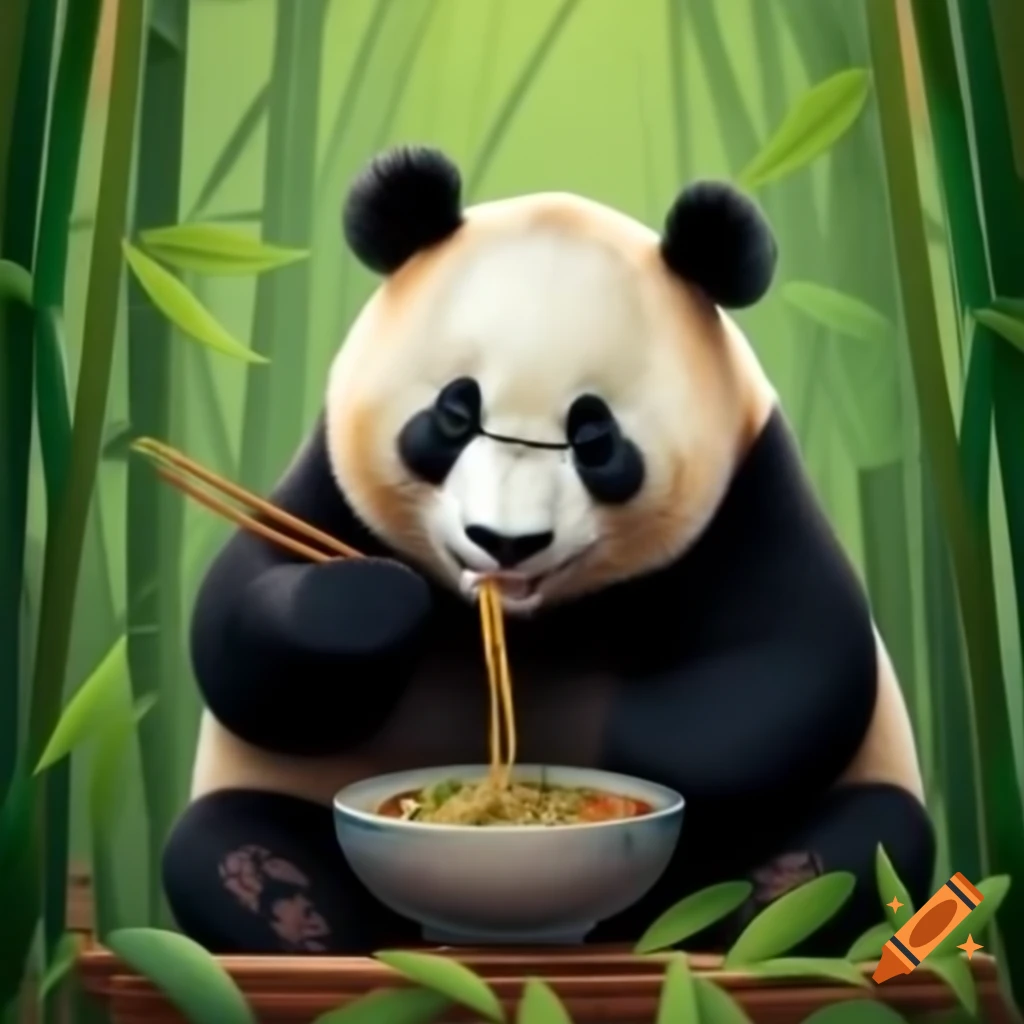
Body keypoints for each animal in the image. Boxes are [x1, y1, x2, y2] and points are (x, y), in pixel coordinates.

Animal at [163, 145, 934, 956]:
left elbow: (794, 665)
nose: (505, 542)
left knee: (874, 839)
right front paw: (373, 600)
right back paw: (281, 900)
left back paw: (776, 899)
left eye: (594, 438)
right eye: (455, 413)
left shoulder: (754, 488)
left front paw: (617, 732)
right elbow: (241, 636)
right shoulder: (326, 487)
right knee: (215, 837)